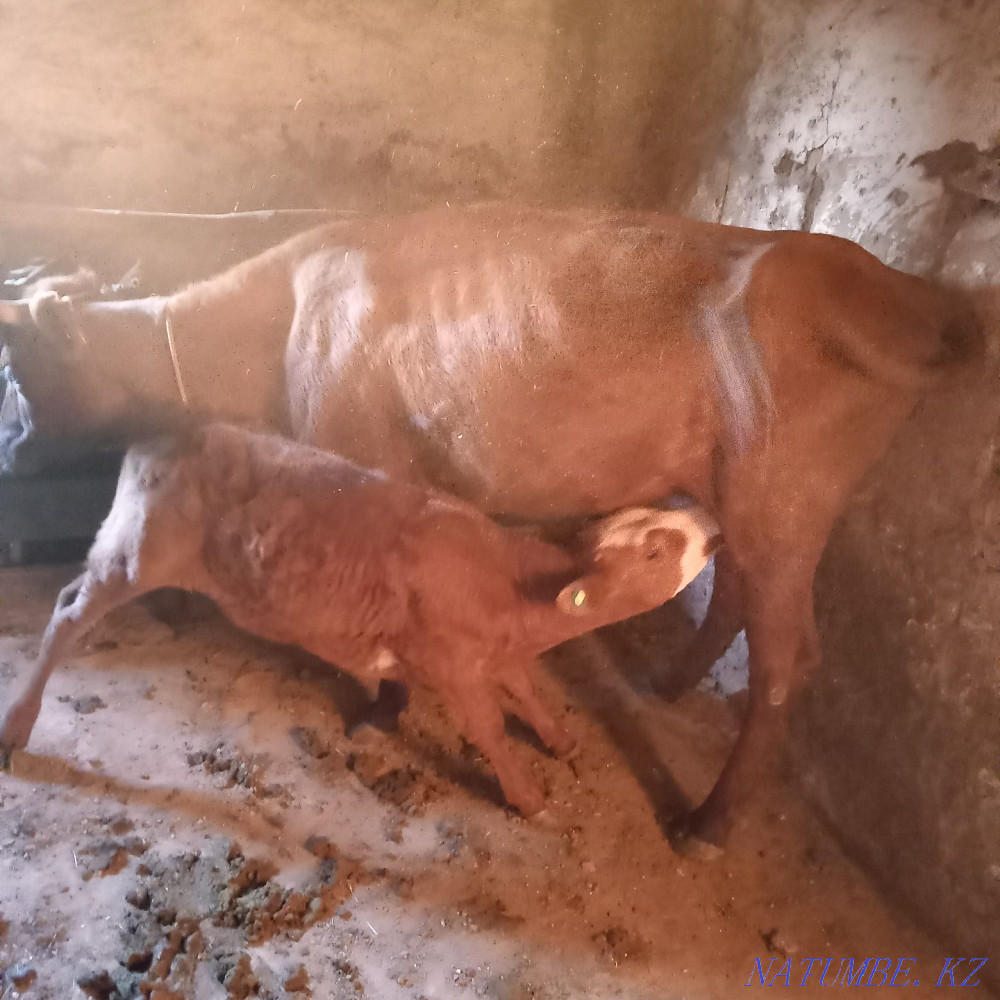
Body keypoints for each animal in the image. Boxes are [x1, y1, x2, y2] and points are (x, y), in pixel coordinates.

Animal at [0, 423, 720, 817]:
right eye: (654, 550)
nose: (712, 529)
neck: (507, 582)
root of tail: (172, 429)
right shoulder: (452, 665)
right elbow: (489, 727)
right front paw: (527, 796)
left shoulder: (495, 653)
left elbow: (528, 692)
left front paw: (559, 740)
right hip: (134, 552)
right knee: (67, 616)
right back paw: (18, 726)